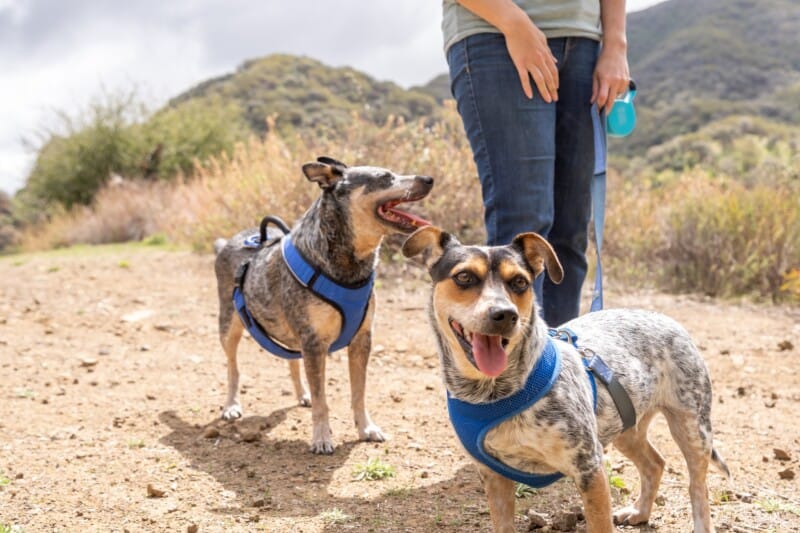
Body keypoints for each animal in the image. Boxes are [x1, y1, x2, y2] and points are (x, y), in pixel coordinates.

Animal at [214, 158, 432, 454]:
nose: (430, 179)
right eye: (385, 177)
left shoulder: (362, 339)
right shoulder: (314, 342)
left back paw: (301, 393)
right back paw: (231, 405)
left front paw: (366, 428)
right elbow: (322, 401)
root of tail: (226, 242)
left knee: (292, 362)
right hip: (229, 324)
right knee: (232, 366)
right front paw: (321, 438)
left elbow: (359, 392)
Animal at [404, 224, 728, 532]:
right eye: (464, 277)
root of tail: (664, 317)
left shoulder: (589, 468)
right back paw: (639, 512)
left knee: (697, 487)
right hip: (626, 427)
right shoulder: (494, 477)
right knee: (655, 463)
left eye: (520, 282)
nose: (505, 314)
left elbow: (600, 525)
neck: (494, 391)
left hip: (692, 429)